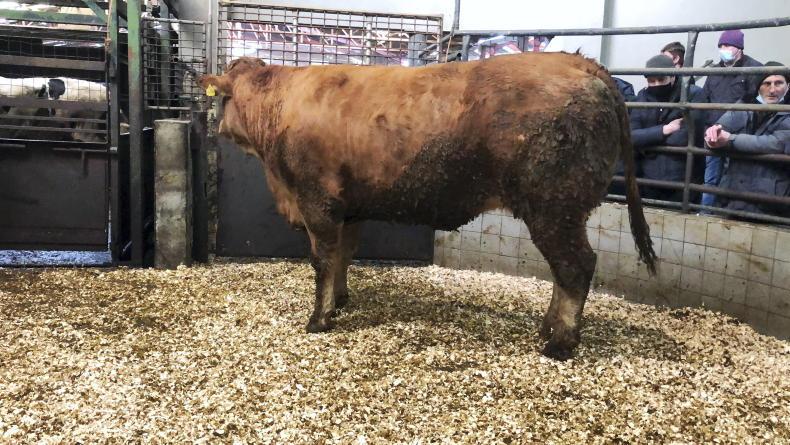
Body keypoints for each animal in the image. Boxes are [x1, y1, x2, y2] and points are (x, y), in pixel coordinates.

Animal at [198, 53, 658, 359]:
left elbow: (323, 259)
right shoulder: (350, 208)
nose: (215, 128)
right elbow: (345, 255)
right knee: (567, 272)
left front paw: (320, 318)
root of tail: (580, 63)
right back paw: (548, 328)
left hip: (554, 208)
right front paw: (342, 299)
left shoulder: (318, 201)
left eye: (221, 100)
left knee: (575, 267)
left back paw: (559, 343)